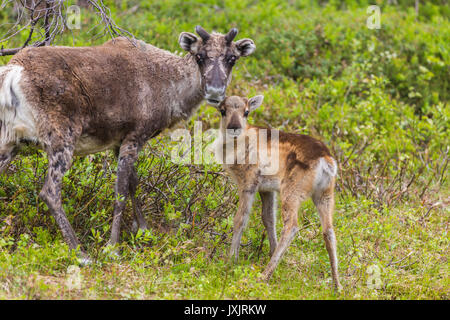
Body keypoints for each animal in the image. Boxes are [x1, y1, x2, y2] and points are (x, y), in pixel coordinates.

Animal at [216, 95, 340, 290]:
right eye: (222, 110)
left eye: (246, 111)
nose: (233, 127)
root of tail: (326, 160)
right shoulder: (267, 188)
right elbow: (268, 219)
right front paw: (271, 251)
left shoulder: (249, 181)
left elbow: (240, 219)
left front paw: (230, 260)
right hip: (325, 193)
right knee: (329, 231)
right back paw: (337, 285)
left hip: (292, 190)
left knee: (292, 226)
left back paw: (264, 275)